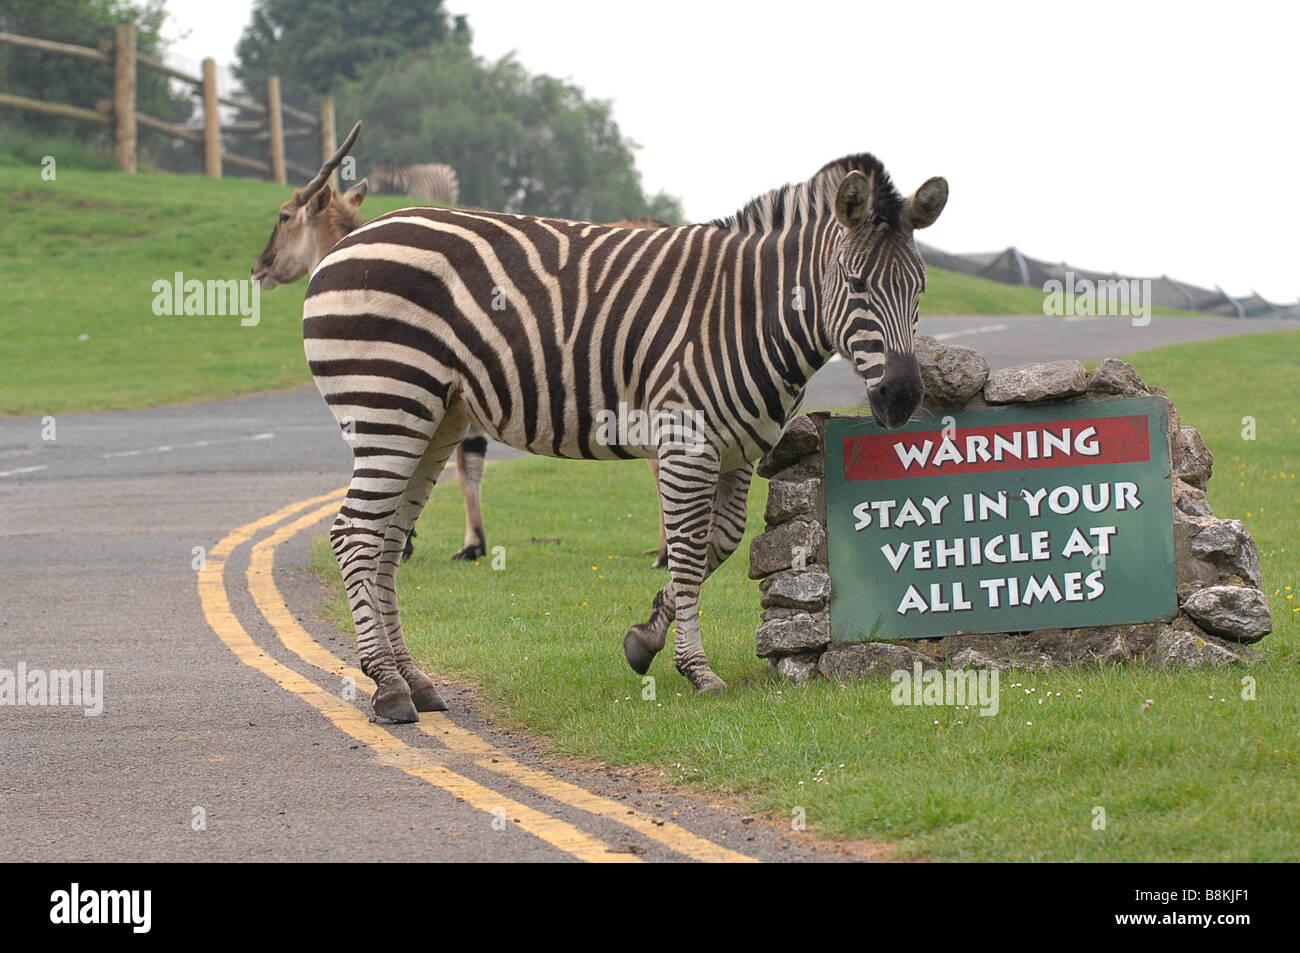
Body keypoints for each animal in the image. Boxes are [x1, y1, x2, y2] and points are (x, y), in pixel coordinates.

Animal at [309, 154, 951, 722]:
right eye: (857, 283)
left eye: (921, 289)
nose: (901, 399)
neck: (749, 313)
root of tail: (349, 242)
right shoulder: (687, 441)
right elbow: (688, 551)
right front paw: (697, 670)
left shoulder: (738, 449)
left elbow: (719, 542)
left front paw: (645, 640)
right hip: (390, 407)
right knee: (355, 534)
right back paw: (388, 688)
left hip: (434, 420)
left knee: (388, 542)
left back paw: (415, 681)